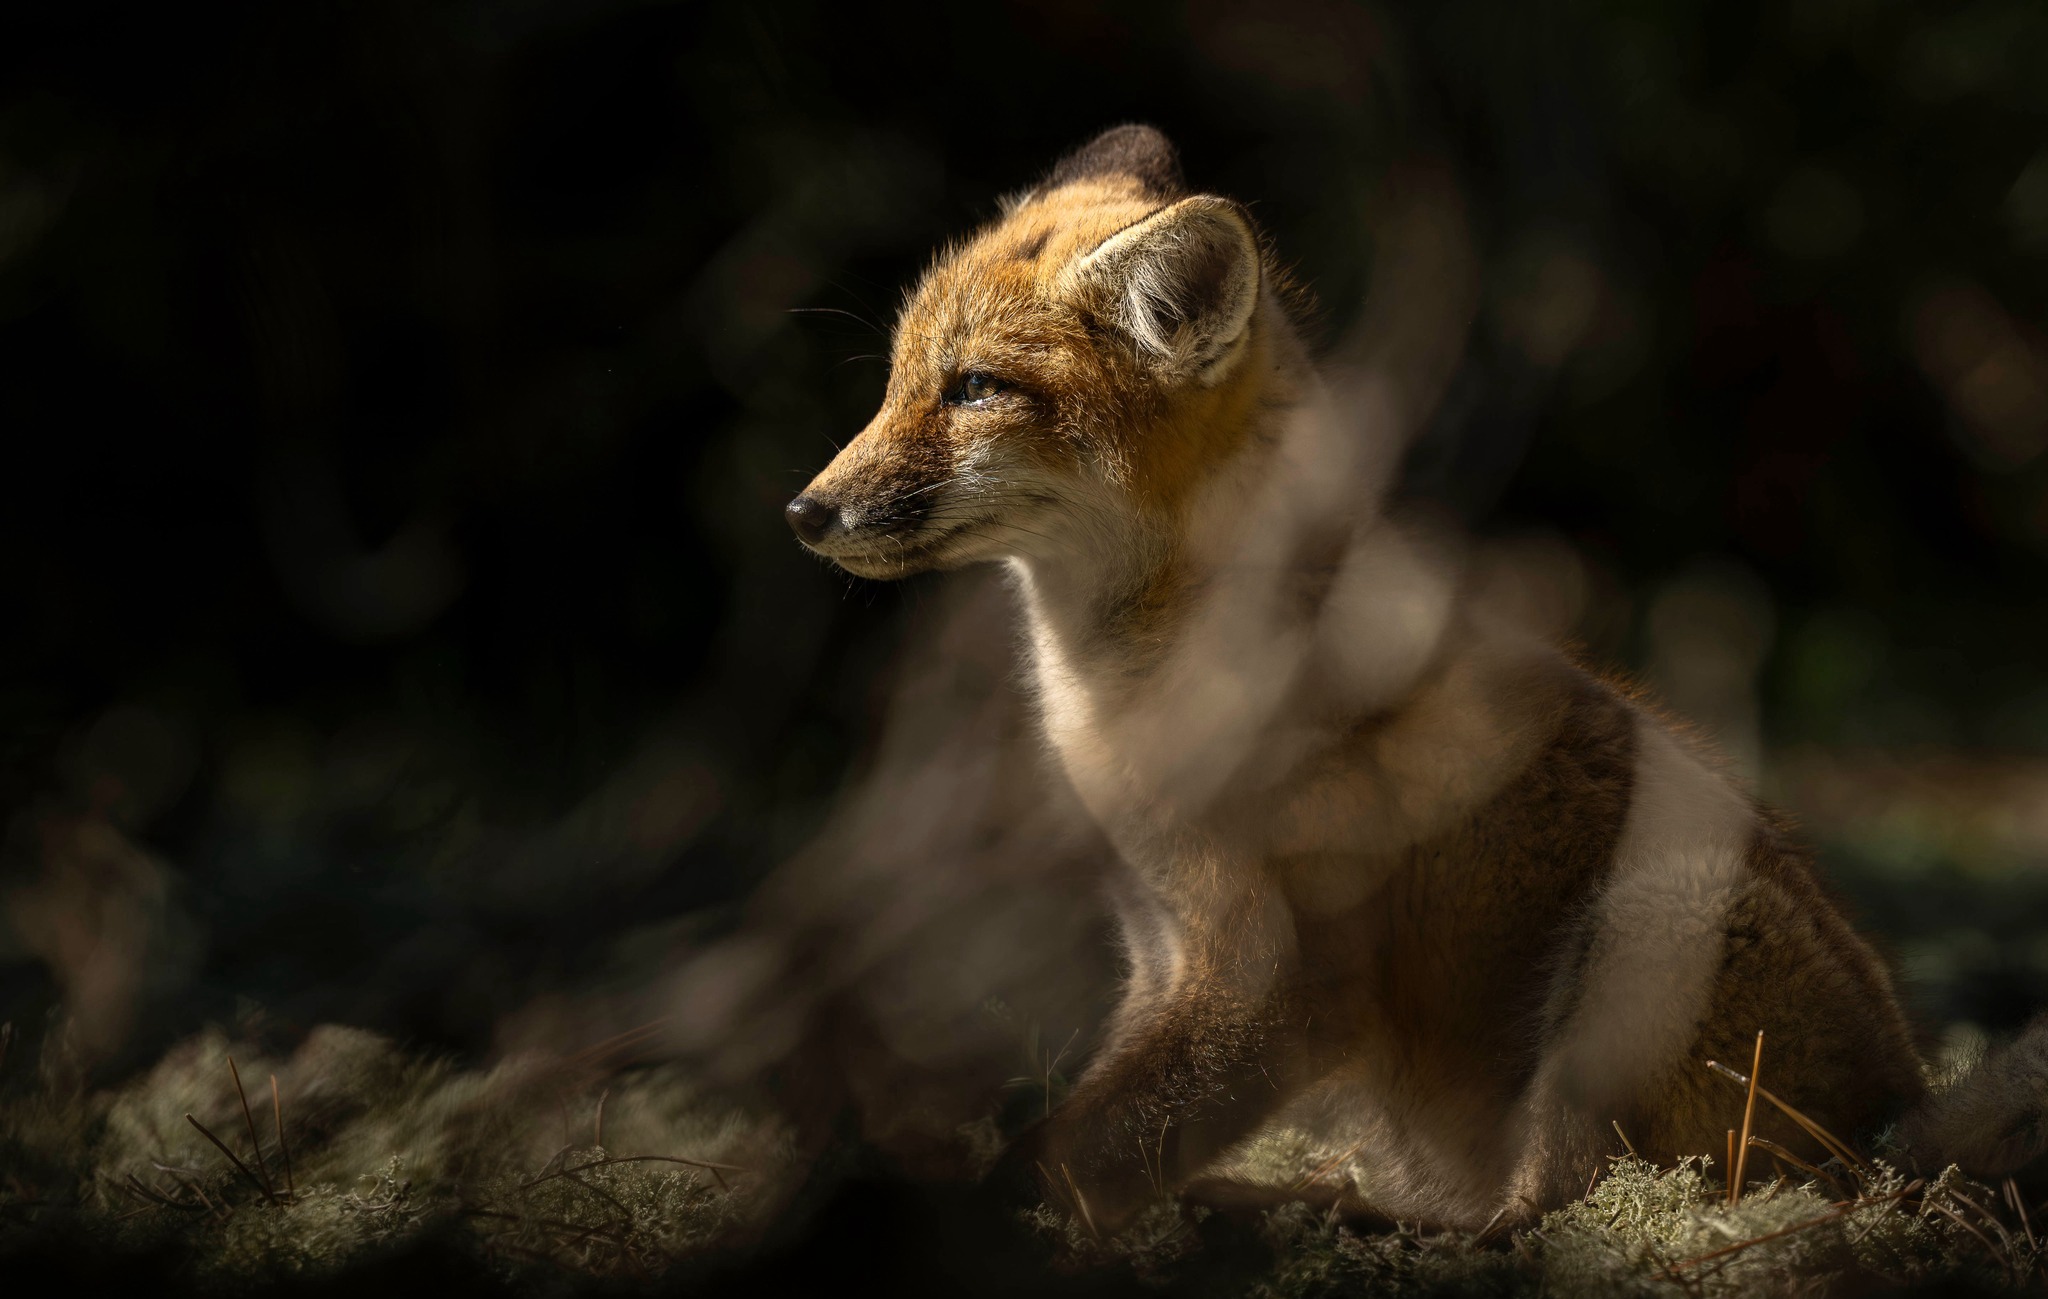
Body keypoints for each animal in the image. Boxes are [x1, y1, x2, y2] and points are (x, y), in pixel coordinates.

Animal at [785, 124, 2048, 1230]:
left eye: (972, 389)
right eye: (895, 381)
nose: (803, 511)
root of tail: (1898, 1117)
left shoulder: (1271, 987)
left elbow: (1065, 1154)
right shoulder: (1160, 948)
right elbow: (1087, 1132)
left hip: (1647, 924)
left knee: (1549, 1215)